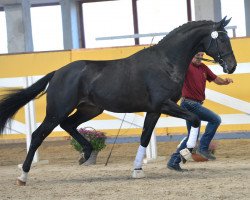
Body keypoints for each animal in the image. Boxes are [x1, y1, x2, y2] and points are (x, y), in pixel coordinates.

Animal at [0, 16, 236, 184]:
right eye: (222, 39)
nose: (232, 66)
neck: (166, 63)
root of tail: (58, 72)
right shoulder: (165, 104)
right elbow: (195, 119)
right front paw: (187, 151)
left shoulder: (155, 110)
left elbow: (145, 137)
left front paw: (137, 170)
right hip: (58, 110)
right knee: (38, 135)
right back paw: (23, 177)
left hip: (89, 109)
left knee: (69, 125)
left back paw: (86, 153)